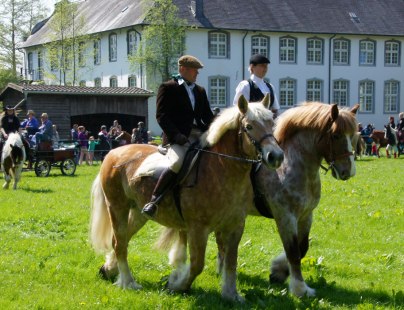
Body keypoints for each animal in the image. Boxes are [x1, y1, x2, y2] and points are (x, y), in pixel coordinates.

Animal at [89, 95, 282, 302]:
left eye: (272, 123)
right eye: (249, 126)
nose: (276, 156)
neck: (221, 168)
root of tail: (113, 153)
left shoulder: (235, 226)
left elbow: (231, 262)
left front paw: (231, 294)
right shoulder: (198, 228)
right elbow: (197, 265)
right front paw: (176, 285)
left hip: (139, 213)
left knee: (123, 239)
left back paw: (109, 270)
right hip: (117, 207)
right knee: (119, 243)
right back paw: (128, 282)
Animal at [159, 102, 358, 298]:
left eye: (353, 136)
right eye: (336, 135)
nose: (348, 172)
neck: (291, 165)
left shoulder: (305, 215)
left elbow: (302, 247)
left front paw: (278, 272)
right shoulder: (285, 216)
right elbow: (293, 251)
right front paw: (299, 288)